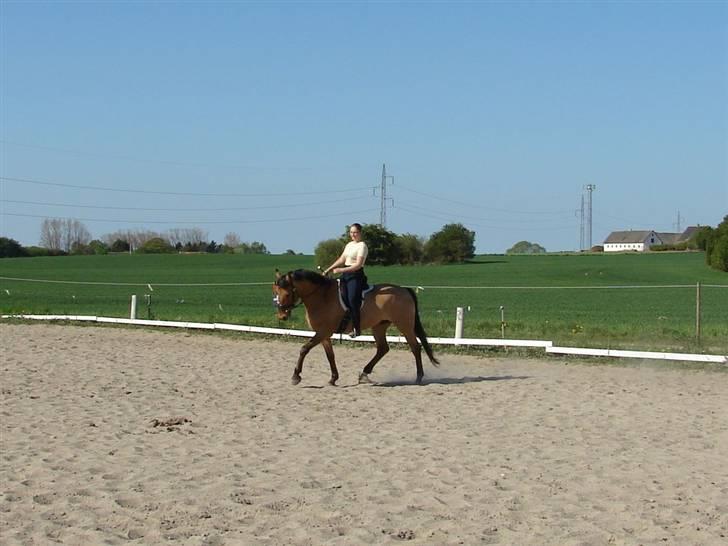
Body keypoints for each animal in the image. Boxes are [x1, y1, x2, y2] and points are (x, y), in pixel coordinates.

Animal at [272, 268, 438, 382]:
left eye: (287, 293)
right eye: (275, 292)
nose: (282, 316)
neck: (321, 296)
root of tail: (404, 290)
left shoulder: (323, 332)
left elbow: (304, 349)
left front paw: (296, 376)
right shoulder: (323, 334)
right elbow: (330, 355)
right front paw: (333, 378)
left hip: (404, 325)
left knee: (415, 347)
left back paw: (419, 377)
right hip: (379, 326)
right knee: (383, 348)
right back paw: (364, 373)